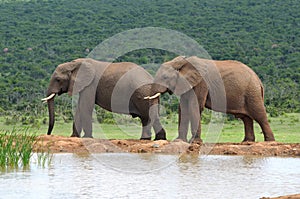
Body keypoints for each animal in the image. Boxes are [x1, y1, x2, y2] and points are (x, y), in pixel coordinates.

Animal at [146, 56, 276, 142]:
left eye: (165, 77)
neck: (182, 62)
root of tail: (259, 81)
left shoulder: (201, 83)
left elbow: (195, 106)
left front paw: (194, 142)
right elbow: (182, 108)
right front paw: (179, 141)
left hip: (252, 93)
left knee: (259, 115)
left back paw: (269, 141)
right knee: (246, 118)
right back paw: (246, 142)